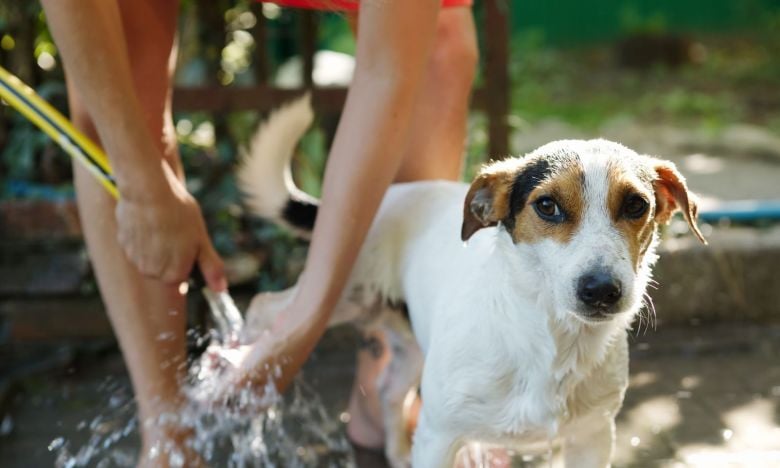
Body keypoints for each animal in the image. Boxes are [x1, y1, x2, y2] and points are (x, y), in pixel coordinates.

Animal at [236, 96, 708, 468]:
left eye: (636, 205)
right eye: (547, 206)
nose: (601, 290)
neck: (550, 339)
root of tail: (382, 198)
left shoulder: (591, 438)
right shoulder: (440, 437)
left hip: (409, 343)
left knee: (388, 391)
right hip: (340, 292)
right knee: (266, 306)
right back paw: (236, 360)